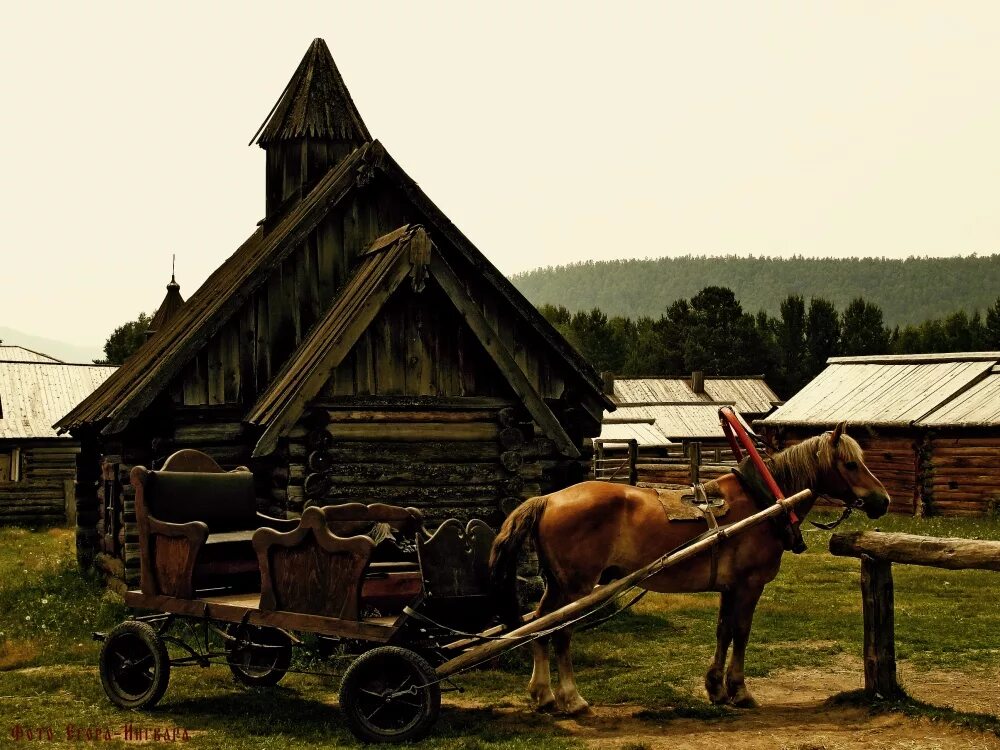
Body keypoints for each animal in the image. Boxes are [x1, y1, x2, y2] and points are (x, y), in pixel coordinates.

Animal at [488, 424, 888, 716]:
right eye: (851, 464)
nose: (882, 501)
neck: (765, 501)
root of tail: (548, 498)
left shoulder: (730, 587)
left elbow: (724, 631)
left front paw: (716, 688)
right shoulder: (749, 585)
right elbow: (741, 632)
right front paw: (739, 690)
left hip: (557, 585)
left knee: (538, 626)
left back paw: (543, 694)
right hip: (576, 587)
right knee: (560, 633)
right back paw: (571, 698)